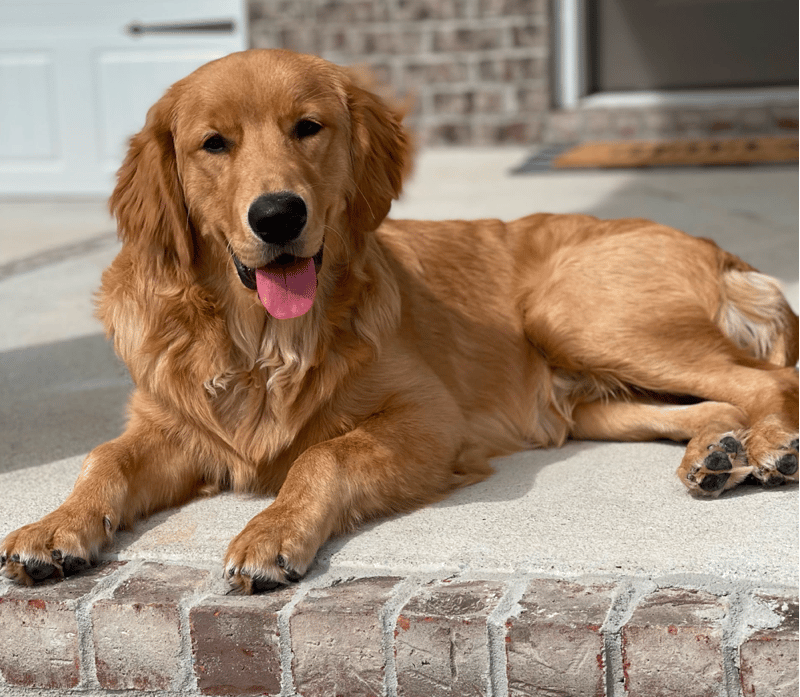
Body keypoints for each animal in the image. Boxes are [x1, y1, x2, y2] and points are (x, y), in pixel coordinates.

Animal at [1, 50, 800, 592]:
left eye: (308, 128)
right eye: (213, 144)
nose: (278, 215)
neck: (263, 342)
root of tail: (716, 247)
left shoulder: (430, 420)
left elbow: (321, 456)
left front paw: (272, 531)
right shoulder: (170, 424)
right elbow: (103, 459)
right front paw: (54, 525)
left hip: (575, 313)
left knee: (770, 383)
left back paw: (770, 448)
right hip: (590, 403)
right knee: (719, 401)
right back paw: (715, 454)